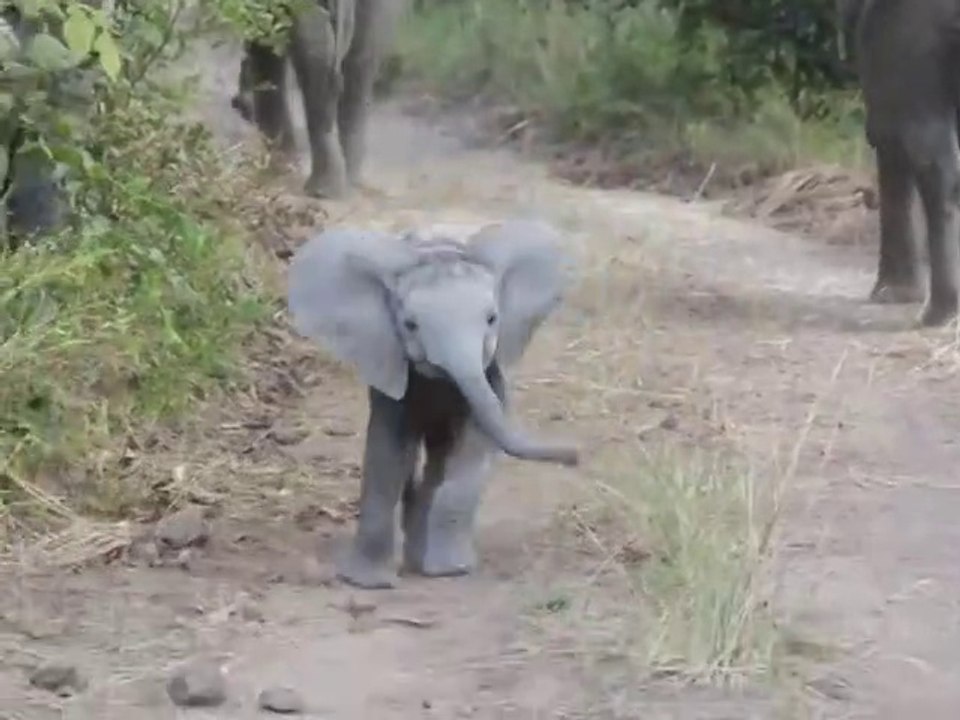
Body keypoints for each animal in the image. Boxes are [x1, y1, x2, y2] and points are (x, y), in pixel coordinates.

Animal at [286, 219, 580, 588]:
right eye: (410, 325)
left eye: (492, 319)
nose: (576, 455)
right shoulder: (390, 366)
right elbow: (387, 451)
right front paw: (370, 583)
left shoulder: (491, 373)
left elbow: (473, 446)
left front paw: (450, 570)